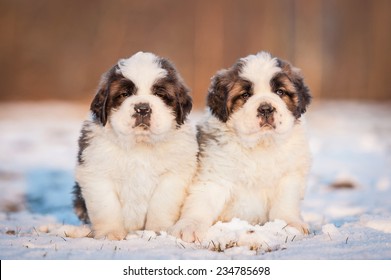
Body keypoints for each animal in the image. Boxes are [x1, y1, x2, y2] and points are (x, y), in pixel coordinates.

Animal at [72, 52, 199, 241]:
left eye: (160, 94)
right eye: (125, 94)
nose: (142, 108)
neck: (139, 145)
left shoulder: (173, 175)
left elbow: (161, 203)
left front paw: (157, 230)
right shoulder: (97, 172)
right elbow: (107, 206)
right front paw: (111, 233)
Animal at [171, 50, 312, 243]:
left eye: (280, 92)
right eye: (245, 95)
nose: (266, 108)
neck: (259, 147)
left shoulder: (289, 176)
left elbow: (285, 203)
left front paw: (290, 224)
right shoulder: (214, 176)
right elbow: (201, 202)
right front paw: (189, 226)